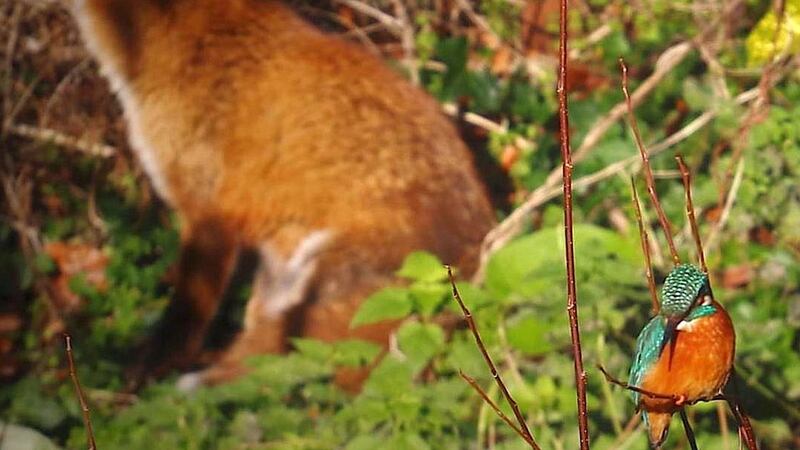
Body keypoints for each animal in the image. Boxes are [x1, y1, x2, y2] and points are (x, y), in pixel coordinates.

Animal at [69, 0, 496, 387]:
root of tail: (473, 260)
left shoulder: (209, 214)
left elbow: (184, 317)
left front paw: (148, 369)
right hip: (288, 272)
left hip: (320, 274)